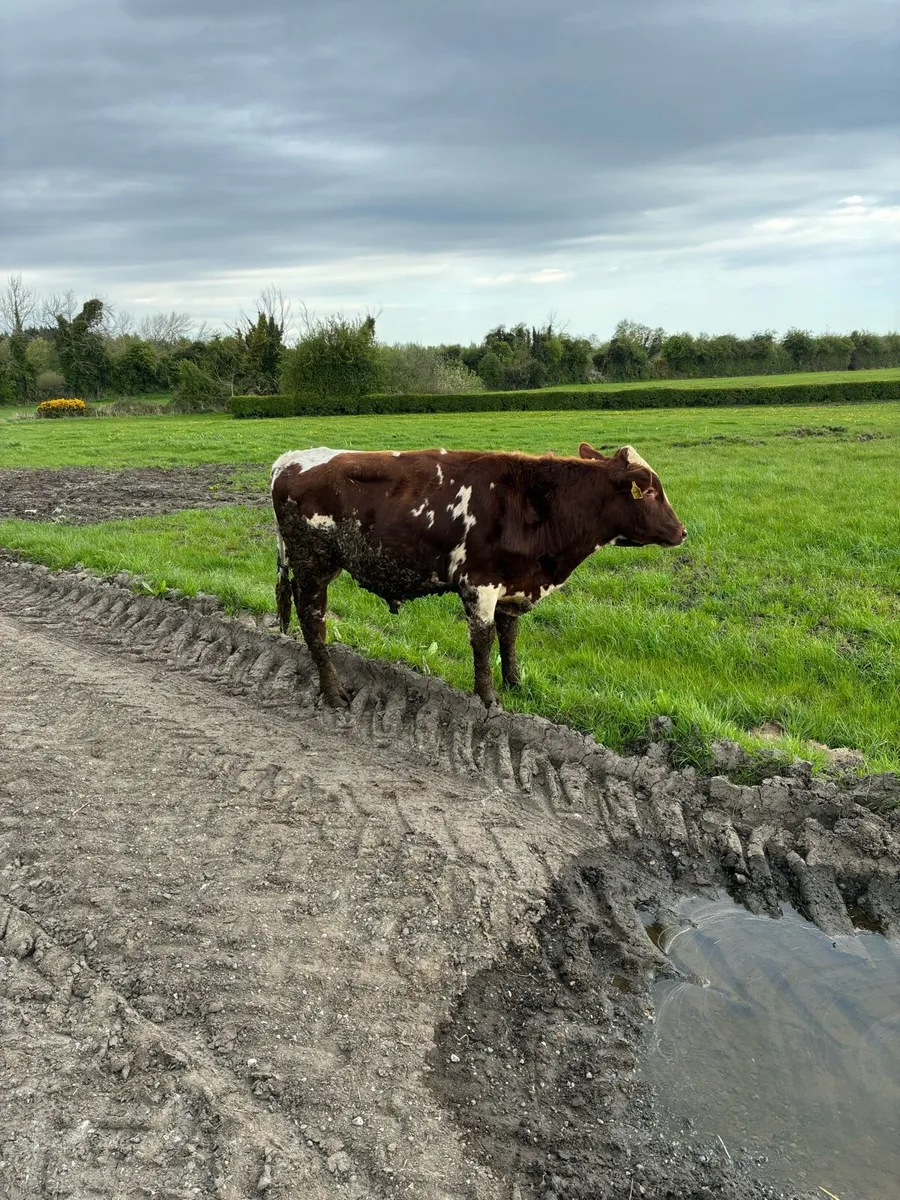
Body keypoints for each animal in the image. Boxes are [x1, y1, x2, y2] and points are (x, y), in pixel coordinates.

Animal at [271, 442, 686, 708]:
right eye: (651, 492)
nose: (682, 532)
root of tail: (291, 458)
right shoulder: (480, 583)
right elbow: (483, 643)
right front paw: (488, 698)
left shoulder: (512, 585)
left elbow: (509, 636)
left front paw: (515, 683)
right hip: (312, 565)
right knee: (313, 624)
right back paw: (333, 693)